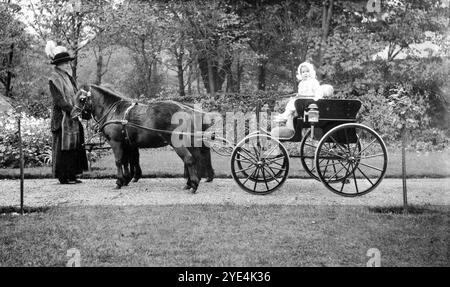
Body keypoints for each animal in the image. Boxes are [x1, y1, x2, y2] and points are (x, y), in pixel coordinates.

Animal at [74, 85, 214, 194]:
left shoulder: (116, 142)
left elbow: (119, 161)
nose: (73, 114)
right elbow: (127, 161)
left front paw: (119, 181)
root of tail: (185, 109)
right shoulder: (127, 144)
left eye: (82, 99)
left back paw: (194, 184)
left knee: (189, 159)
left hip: (177, 143)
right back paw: (192, 182)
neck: (113, 111)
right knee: (194, 158)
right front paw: (127, 179)